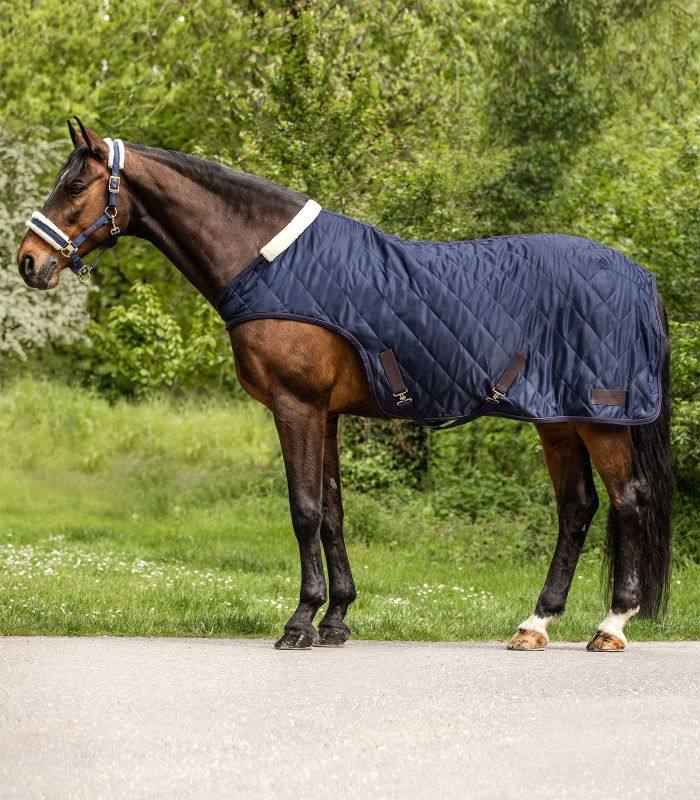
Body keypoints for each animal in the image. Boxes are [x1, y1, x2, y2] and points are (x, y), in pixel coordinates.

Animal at [17, 120, 672, 652]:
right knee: (577, 508)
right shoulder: (325, 415)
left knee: (629, 500)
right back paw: (535, 625)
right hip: (556, 419)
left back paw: (611, 626)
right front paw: (336, 620)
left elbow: (304, 510)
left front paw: (299, 622)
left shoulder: (296, 407)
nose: (28, 262)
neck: (269, 260)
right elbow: (332, 513)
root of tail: (638, 275)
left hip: (598, 418)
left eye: (75, 186)